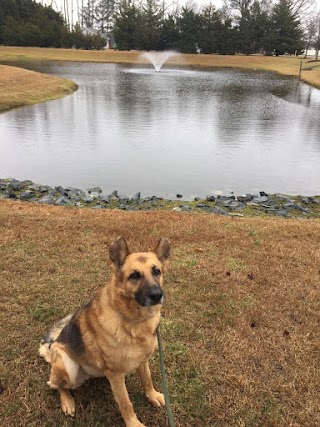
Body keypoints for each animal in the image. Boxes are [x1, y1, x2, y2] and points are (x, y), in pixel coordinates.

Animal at [39, 237, 170, 427]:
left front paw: (152, 396)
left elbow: (147, 380)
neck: (133, 320)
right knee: (56, 385)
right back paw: (67, 401)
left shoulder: (142, 362)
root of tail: (50, 351)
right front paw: (133, 423)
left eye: (156, 271)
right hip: (68, 367)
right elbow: (125, 403)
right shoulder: (115, 375)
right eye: (135, 275)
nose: (157, 295)